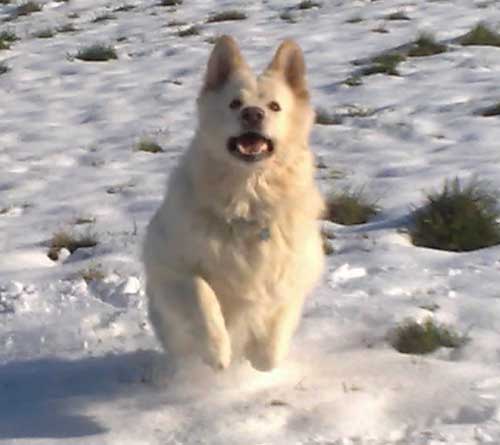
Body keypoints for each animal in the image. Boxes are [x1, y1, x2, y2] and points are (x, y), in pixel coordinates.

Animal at [144, 35, 324, 372]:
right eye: (234, 103)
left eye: (275, 106)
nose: (253, 114)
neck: (246, 199)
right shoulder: (171, 266)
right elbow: (202, 295)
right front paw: (217, 351)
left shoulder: (294, 271)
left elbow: (279, 320)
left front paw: (262, 355)